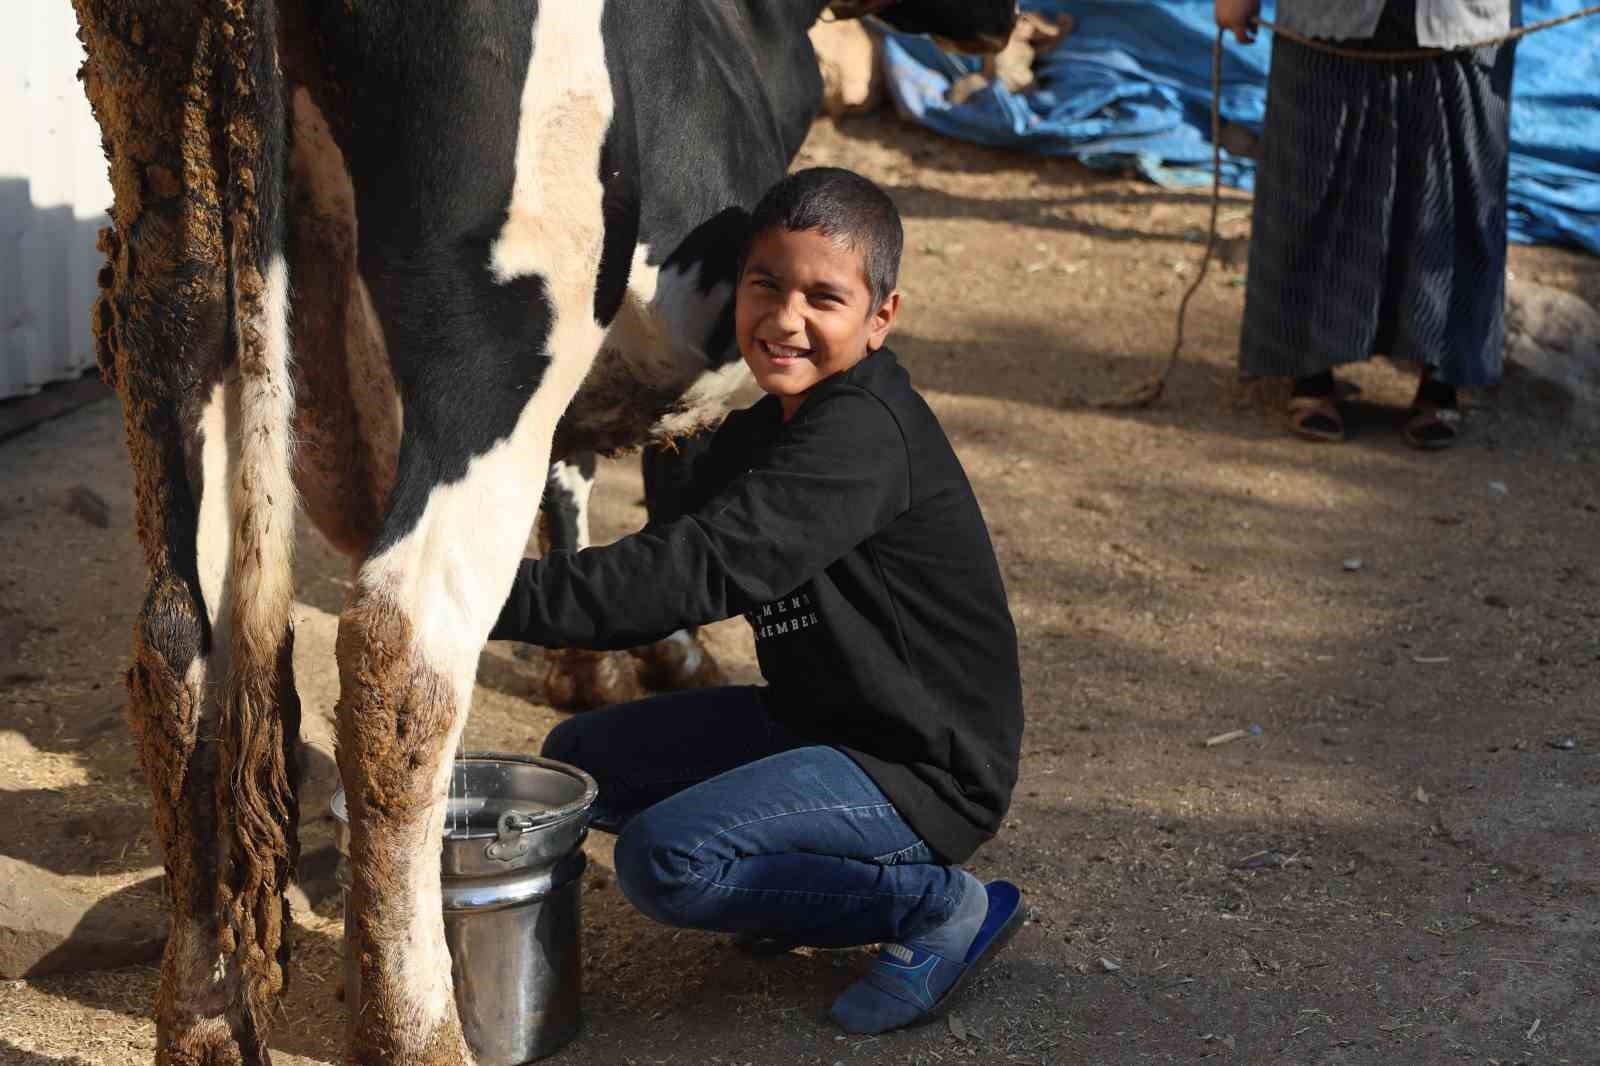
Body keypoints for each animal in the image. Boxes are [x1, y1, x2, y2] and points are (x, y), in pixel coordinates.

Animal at [72, 0, 1011, 1056]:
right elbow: (677, 490)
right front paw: (671, 656)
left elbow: (580, 484)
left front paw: (588, 670)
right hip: (503, 332)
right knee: (401, 640)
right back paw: (419, 1032)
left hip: (172, 300)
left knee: (180, 646)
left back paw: (205, 1020)